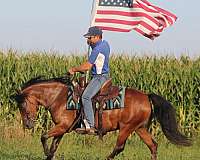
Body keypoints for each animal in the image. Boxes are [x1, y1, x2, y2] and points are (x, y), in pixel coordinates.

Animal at [12, 74, 192, 159]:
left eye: (22, 105)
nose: (28, 125)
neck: (59, 97)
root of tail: (147, 96)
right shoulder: (62, 129)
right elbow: (53, 146)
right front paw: (50, 155)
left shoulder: (62, 126)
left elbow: (43, 137)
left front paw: (47, 153)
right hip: (139, 128)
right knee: (153, 146)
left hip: (126, 128)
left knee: (119, 147)